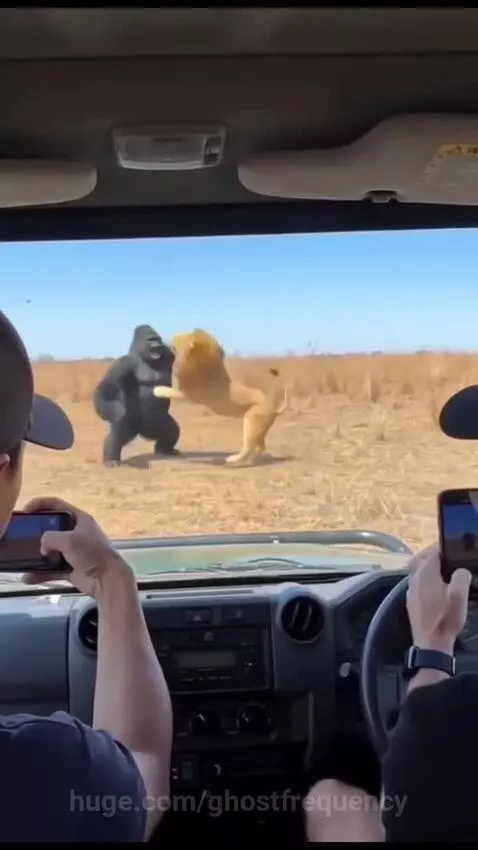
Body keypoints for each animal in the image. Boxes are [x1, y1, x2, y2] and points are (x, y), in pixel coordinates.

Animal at [153, 329, 287, 465]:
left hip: (251, 422)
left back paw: (232, 459)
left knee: (249, 446)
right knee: (260, 447)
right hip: (260, 428)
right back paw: (252, 460)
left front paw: (157, 390)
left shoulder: (191, 395)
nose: (167, 343)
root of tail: (275, 408)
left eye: (174, 345)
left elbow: (170, 391)